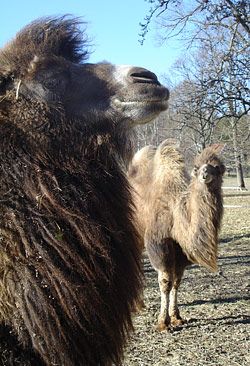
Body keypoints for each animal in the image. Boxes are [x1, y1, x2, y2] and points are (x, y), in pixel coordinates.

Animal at [128, 139, 226, 330]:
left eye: (218, 167)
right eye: (196, 167)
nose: (205, 174)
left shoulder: (180, 251)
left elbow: (177, 282)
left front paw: (176, 317)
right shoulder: (159, 243)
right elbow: (165, 282)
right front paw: (162, 323)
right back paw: (135, 305)